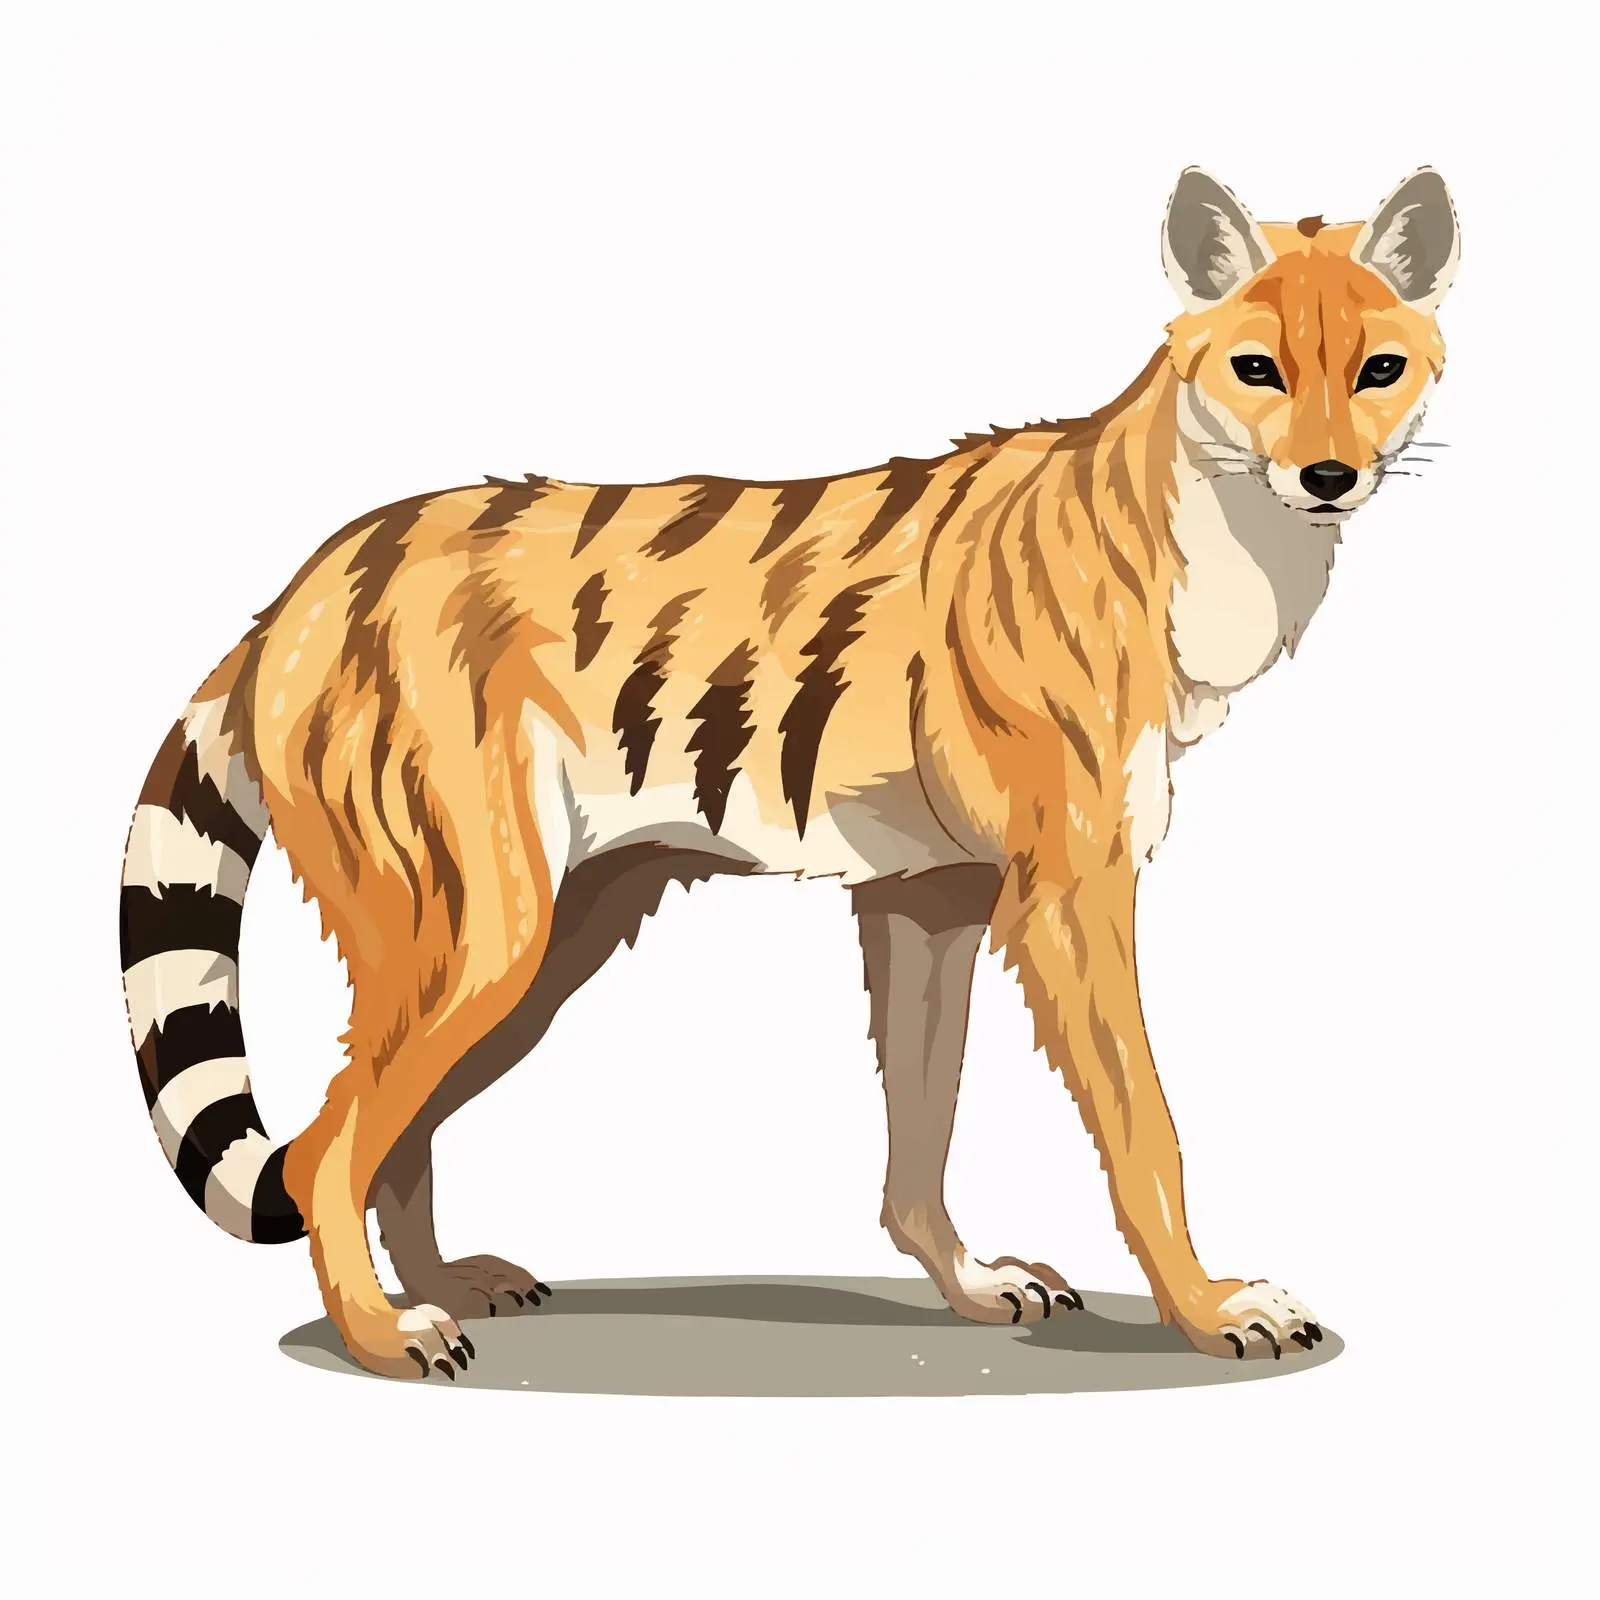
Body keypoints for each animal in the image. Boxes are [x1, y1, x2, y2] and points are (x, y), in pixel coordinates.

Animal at [120, 166, 1457, 1378]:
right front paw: (1210, 1304)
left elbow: (921, 1125)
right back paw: (385, 1332)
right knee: (329, 1143)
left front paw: (970, 1285)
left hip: (541, 945)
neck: (1219, 534)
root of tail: (301, 587)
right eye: (1258, 369)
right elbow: (1144, 1126)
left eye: (1376, 370)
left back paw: (445, 1282)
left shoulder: (931, 898)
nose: (1328, 478)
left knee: (385, 1135)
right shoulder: (1072, 895)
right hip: (482, 934)